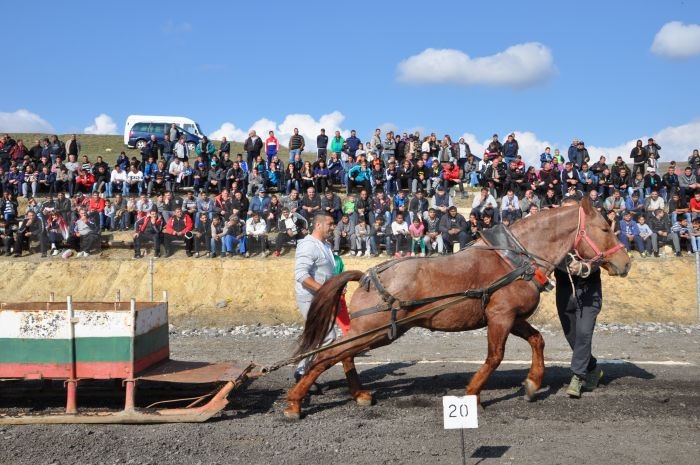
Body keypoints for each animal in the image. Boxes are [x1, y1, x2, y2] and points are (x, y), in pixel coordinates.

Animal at [284, 196, 628, 416]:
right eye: (605, 228)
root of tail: (367, 275)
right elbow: (494, 357)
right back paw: (295, 401)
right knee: (327, 356)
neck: (513, 259)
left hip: (372, 331)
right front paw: (473, 394)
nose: (625, 262)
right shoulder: (500, 317)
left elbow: (537, 340)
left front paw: (532, 383)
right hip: (375, 330)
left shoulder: (512, 317)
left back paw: (359, 394)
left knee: (344, 355)